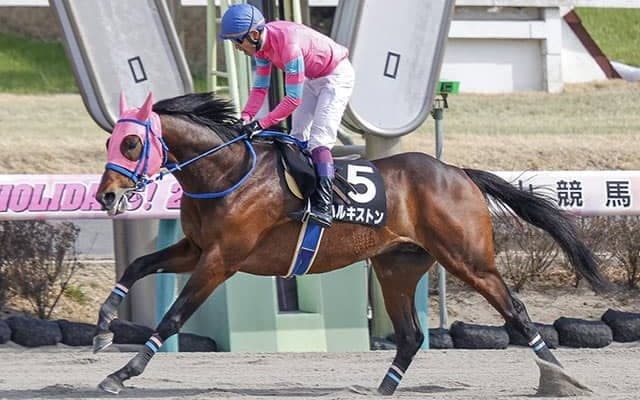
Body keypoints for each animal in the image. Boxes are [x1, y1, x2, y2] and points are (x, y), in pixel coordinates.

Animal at [93, 91, 610, 395]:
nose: (106, 196)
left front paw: (121, 373)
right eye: (109, 144)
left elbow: (174, 315)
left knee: (517, 312)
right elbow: (136, 266)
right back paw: (383, 389)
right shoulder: (197, 249)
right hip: (397, 265)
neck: (227, 173)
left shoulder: (222, 260)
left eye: (132, 145)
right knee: (410, 335)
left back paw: (563, 378)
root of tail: (460, 172)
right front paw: (102, 329)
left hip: (469, 260)